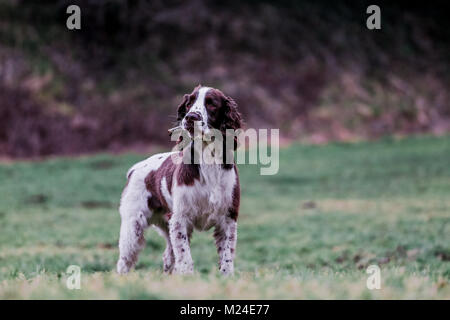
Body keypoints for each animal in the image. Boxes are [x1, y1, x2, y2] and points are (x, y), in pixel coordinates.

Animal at [116, 85, 243, 276]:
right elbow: (184, 258)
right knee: (124, 261)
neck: (207, 159)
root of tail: (135, 168)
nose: (191, 117)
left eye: (212, 104)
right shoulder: (180, 219)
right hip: (133, 225)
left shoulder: (228, 219)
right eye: (189, 103)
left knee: (168, 256)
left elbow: (226, 258)